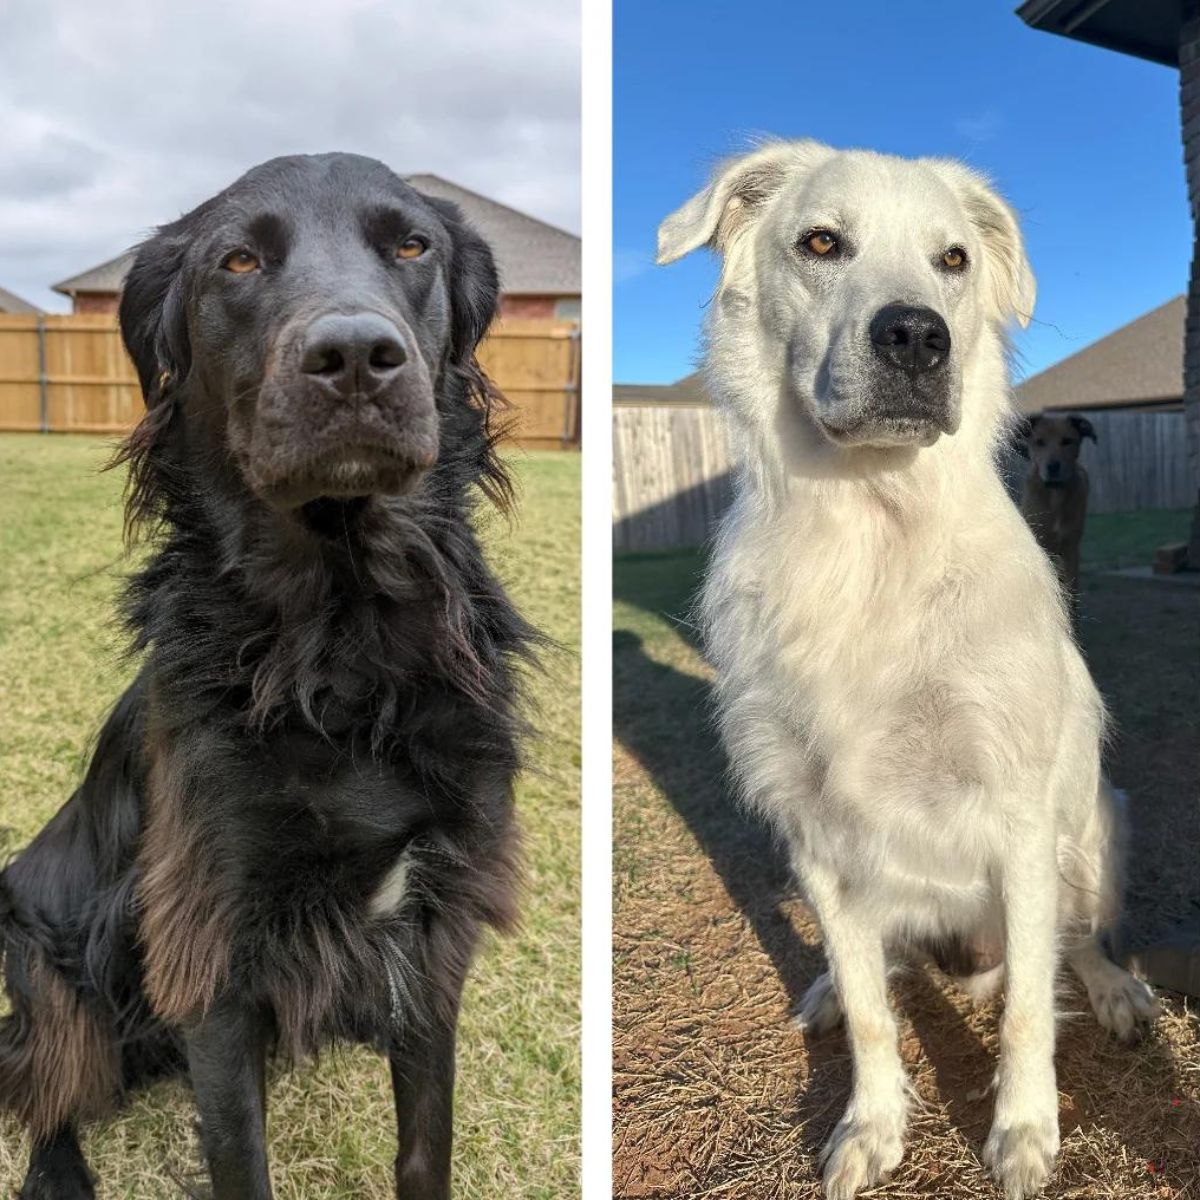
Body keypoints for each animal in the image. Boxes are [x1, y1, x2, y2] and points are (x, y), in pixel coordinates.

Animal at [0, 154, 535, 1195]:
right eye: (237, 261)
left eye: (413, 245)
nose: (356, 356)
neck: (342, 641)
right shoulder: (212, 950)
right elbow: (240, 1157)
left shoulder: (434, 932)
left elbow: (426, 1144)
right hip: (41, 962)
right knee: (46, 1083)